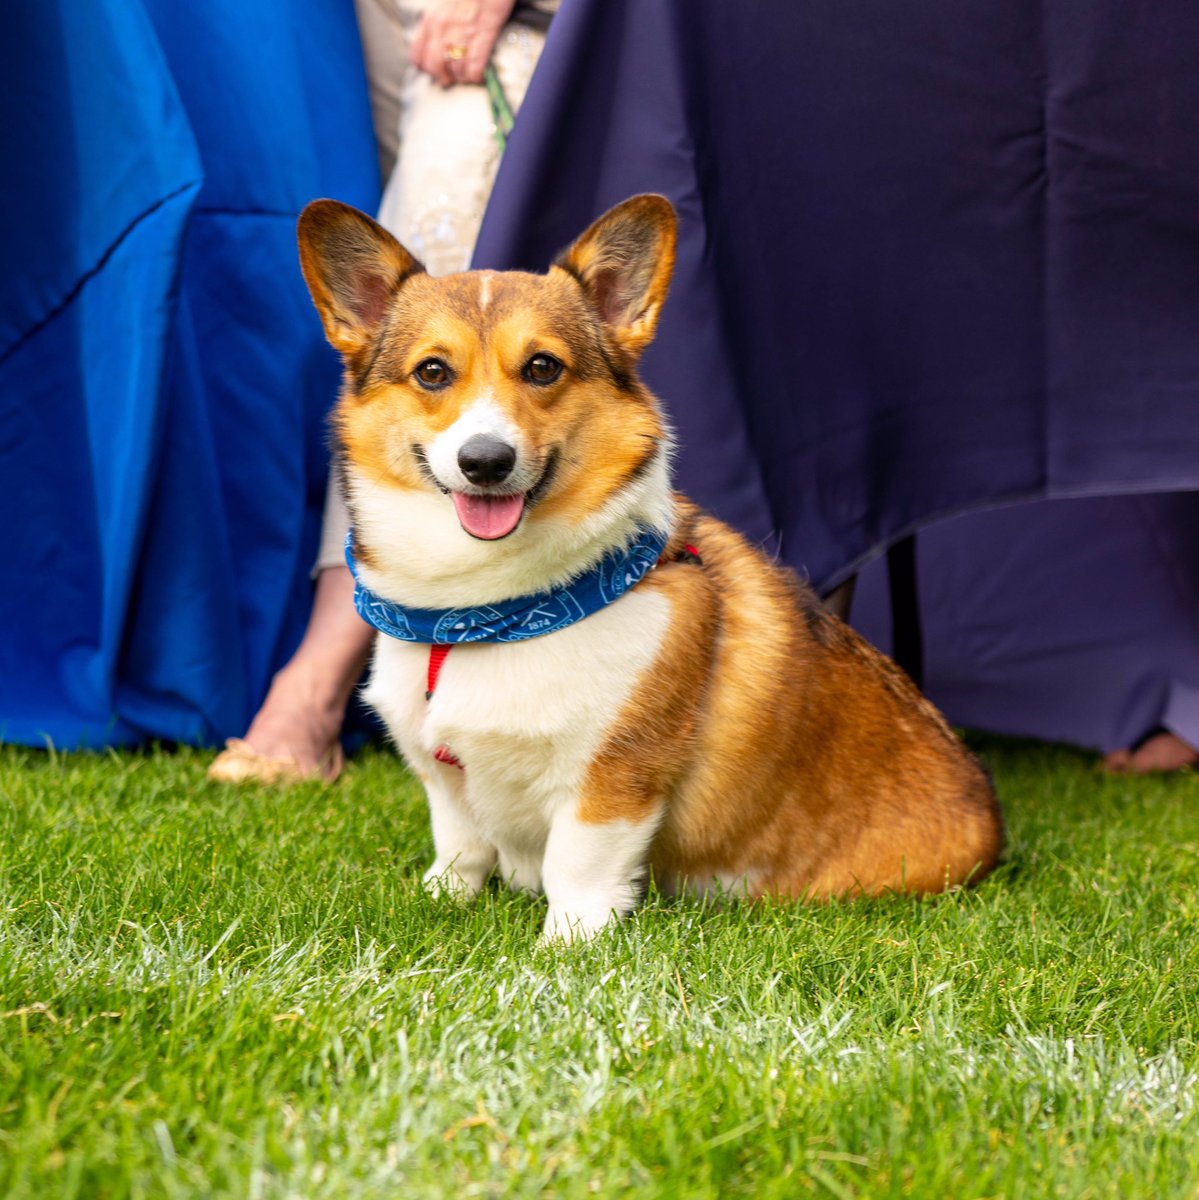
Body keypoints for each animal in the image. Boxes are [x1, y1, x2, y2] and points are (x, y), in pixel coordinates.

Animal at [297, 192, 1003, 940]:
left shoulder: (612, 778)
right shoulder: (444, 776)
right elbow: (459, 844)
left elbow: (575, 868)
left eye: (543, 367)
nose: (485, 461)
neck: (484, 615)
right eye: (432, 372)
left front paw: (566, 947)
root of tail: (989, 819)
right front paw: (440, 898)